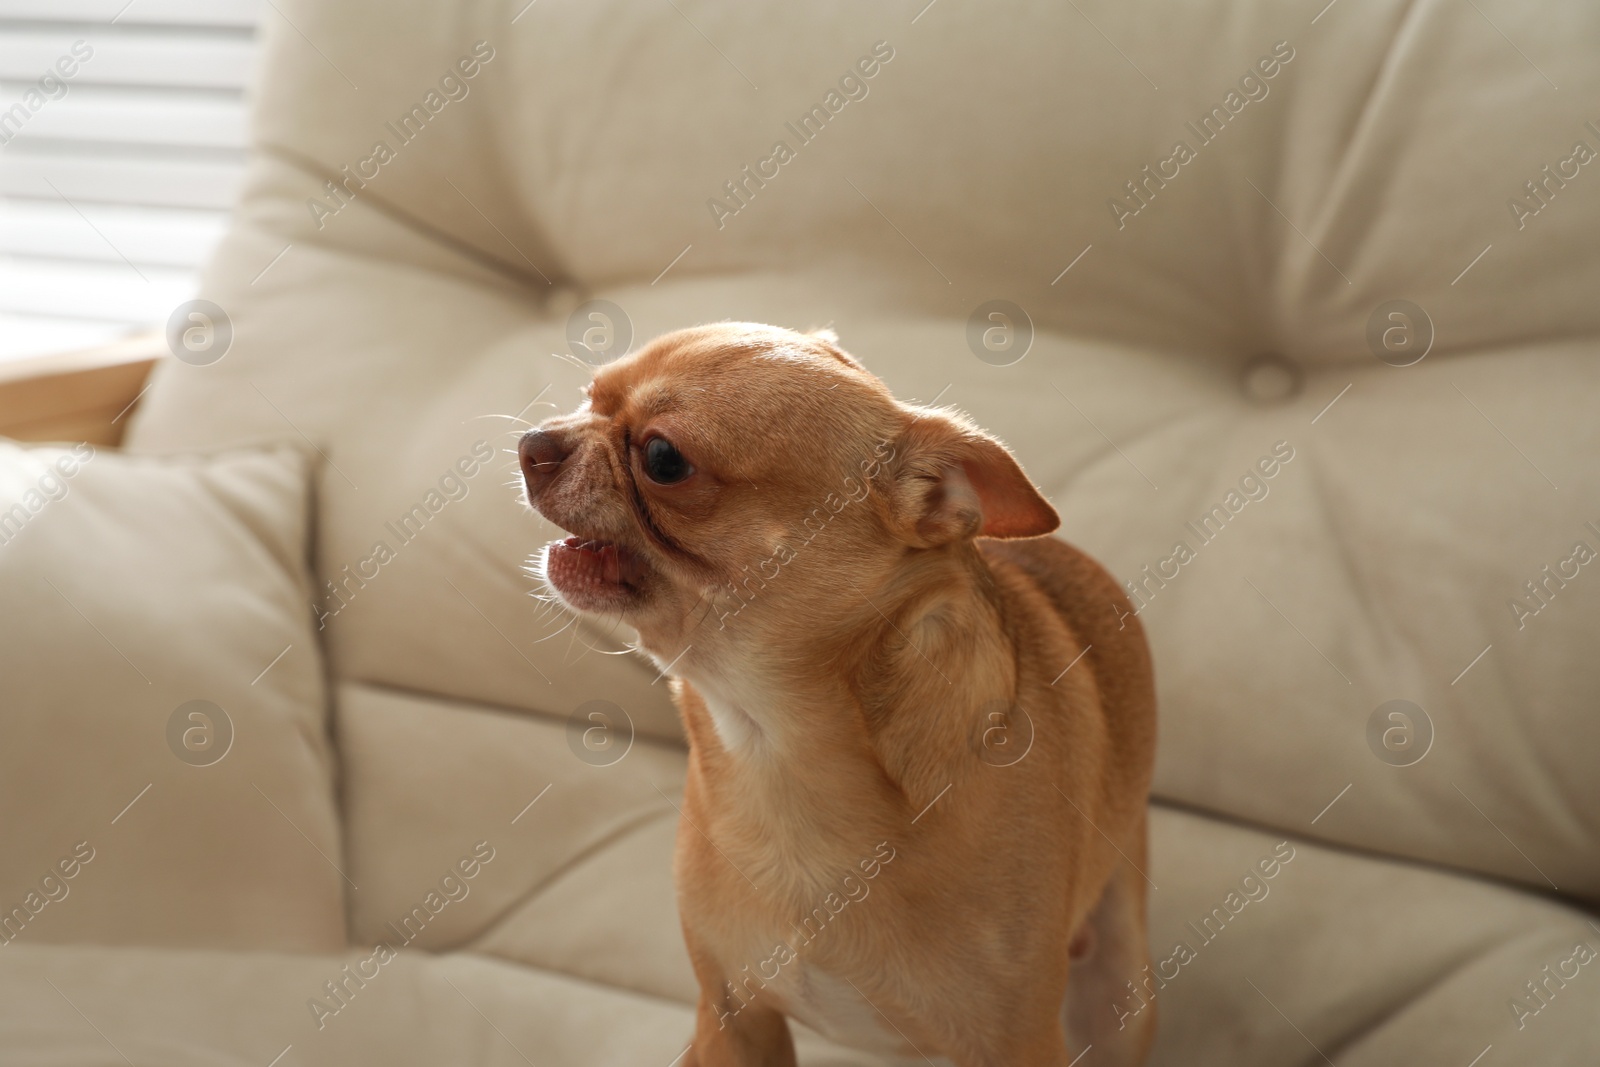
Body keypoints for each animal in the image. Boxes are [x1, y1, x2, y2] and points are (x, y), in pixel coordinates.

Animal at [518, 326, 1158, 1067]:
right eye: (589, 395)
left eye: (663, 458)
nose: (533, 441)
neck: (775, 749)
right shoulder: (733, 1017)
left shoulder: (1019, 1041)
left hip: (1118, 988)